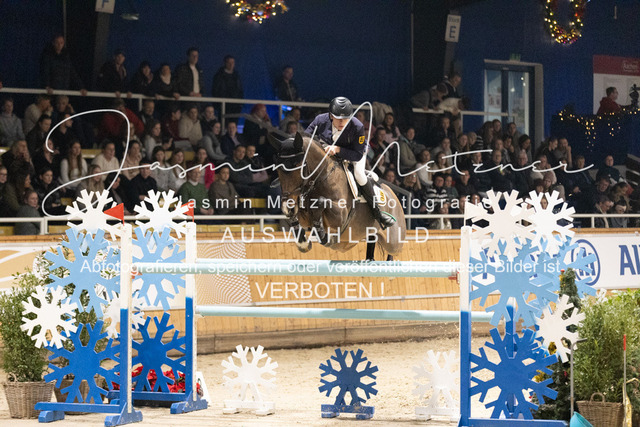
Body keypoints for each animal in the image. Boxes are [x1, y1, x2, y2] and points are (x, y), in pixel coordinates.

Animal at [268, 133, 406, 261]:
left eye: (299, 167)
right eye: (277, 168)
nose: (288, 206)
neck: (320, 179)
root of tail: (393, 196)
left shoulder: (340, 215)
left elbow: (320, 202)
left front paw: (322, 234)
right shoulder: (303, 214)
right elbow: (296, 218)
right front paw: (303, 243)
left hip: (393, 242)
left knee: (394, 251)